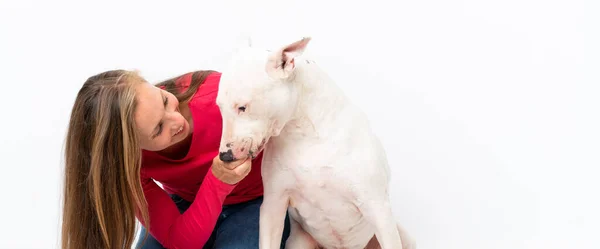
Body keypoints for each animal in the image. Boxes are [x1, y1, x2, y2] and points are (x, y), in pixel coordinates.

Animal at [216, 37, 418, 249]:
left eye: (242, 107)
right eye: (219, 106)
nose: (225, 156)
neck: (304, 134)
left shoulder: (377, 207)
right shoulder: (273, 205)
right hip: (298, 241)